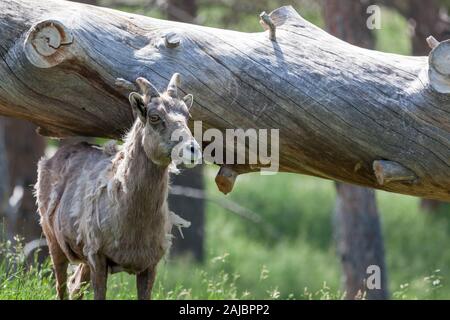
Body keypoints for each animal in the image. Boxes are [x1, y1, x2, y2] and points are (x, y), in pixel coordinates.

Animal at [36, 74, 201, 298]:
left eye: (187, 115)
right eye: (154, 116)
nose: (192, 150)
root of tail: (48, 160)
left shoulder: (149, 267)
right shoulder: (98, 259)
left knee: (75, 286)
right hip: (55, 244)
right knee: (61, 287)